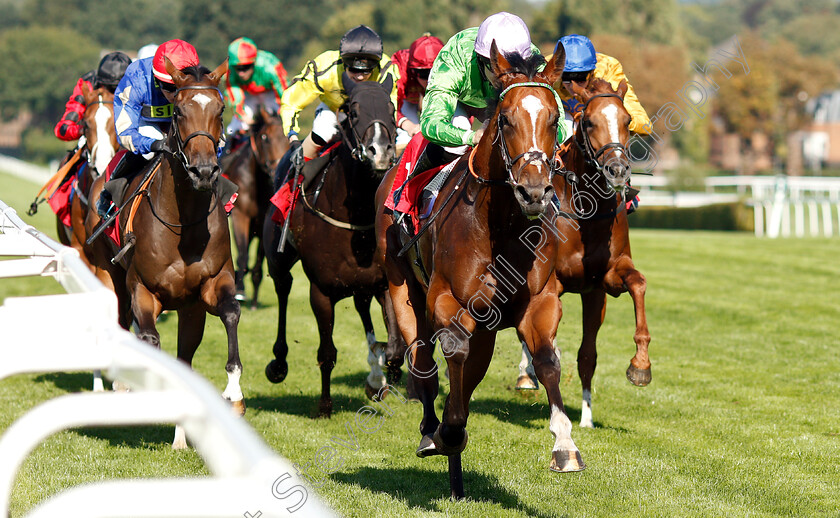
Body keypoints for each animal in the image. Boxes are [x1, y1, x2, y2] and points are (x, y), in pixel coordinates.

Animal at [84, 59, 243, 446]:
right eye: (180, 111)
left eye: (220, 110)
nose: (204, 171)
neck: (183, 223)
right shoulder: (143, 289)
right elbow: (149, 338)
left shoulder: (211, 285)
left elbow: (230, 313)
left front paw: (233, 392)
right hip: (108, 275)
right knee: (119, 321)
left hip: (190, 309)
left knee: (184, 355)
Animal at [221, 106, 290, 308]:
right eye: (265, 137)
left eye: (287, 137)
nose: (277, 172)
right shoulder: (240, 217)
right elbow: (243, 255)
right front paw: (240, 291)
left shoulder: (261, 224)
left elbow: (259, 262)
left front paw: (253, 300)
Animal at [264, 77, 406, 418]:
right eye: (352, 111)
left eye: (391, 108)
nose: (380, 152)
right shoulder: (321, 291)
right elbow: (327, 352)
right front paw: (324, 406)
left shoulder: (383, 282)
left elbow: (394, 348)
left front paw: (380, 379)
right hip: (277, 257)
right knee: (283, 288)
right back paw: (278, 363)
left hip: (362, 287)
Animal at [376, 41, 580, 500]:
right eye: (505, 119)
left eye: (554, 117)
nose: (534, 191)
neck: (499, 227)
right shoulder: (446, 299)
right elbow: (452, 351)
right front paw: (447, 432)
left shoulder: (539, 303)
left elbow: (548, 361)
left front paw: (564, 444)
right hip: (402, 286)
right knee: (424, 364)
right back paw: (432, 431)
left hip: (486, 327)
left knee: (469, 374)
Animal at [516, 77, 652, 428]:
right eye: (588, 121)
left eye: (627, 121)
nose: (617, 170)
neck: (586, 216)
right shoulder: (551, 282)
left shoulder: (602, 284)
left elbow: (637, 285)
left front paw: (640, 366)